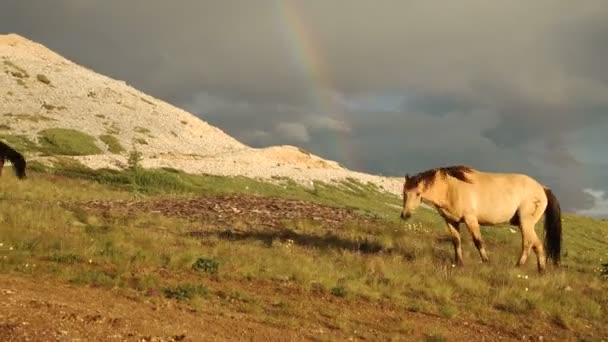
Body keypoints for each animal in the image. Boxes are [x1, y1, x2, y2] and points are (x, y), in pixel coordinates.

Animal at [402, 164, 564, 274]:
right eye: (404, 192)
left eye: (418, 193)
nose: (405, 215)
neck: (451, 188)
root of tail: (542, 188)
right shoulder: (451, 221)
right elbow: (456, 241)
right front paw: (459, 263)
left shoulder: (470, 219)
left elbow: (478, 241)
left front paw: (486, 261)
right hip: (526, 224)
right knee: (538, 245)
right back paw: (541, 270)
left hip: (525, 223)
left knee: (528, 243)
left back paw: (518, 265)